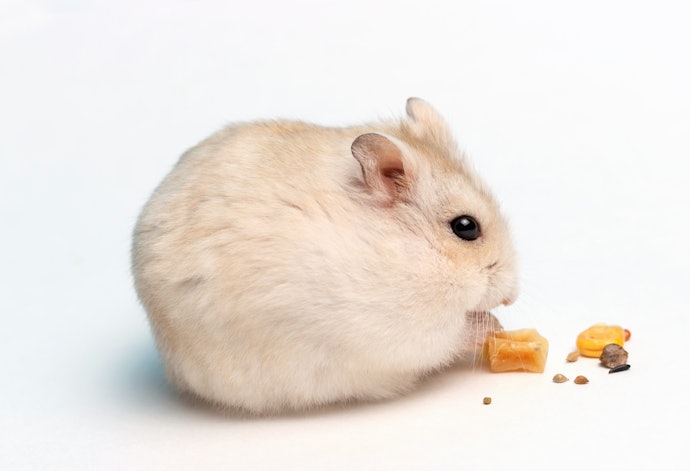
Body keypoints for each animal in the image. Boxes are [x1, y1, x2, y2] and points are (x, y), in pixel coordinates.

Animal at [131, 98, 518, 414]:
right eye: (466, 227)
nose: (512, 296)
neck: (409, 248)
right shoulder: (404, 328)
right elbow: (451, 332)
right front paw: (493, 326)